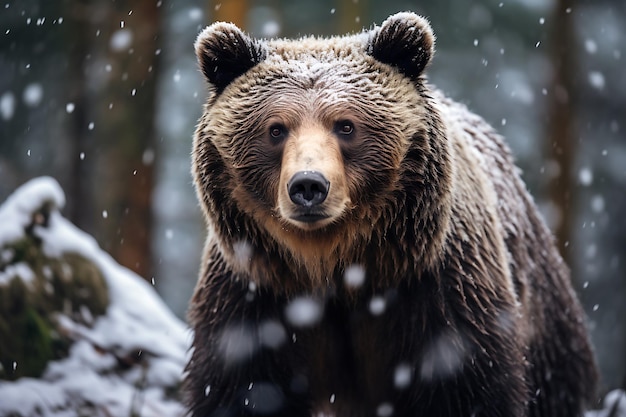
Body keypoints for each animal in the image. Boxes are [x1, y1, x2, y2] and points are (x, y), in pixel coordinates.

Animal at [184, 11, 596, 414]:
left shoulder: (442, 295)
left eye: (346, 125)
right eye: (275, 129)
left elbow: (466, 388)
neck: (337, 270)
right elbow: (243, 389)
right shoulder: (253, 300)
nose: (308, 186)